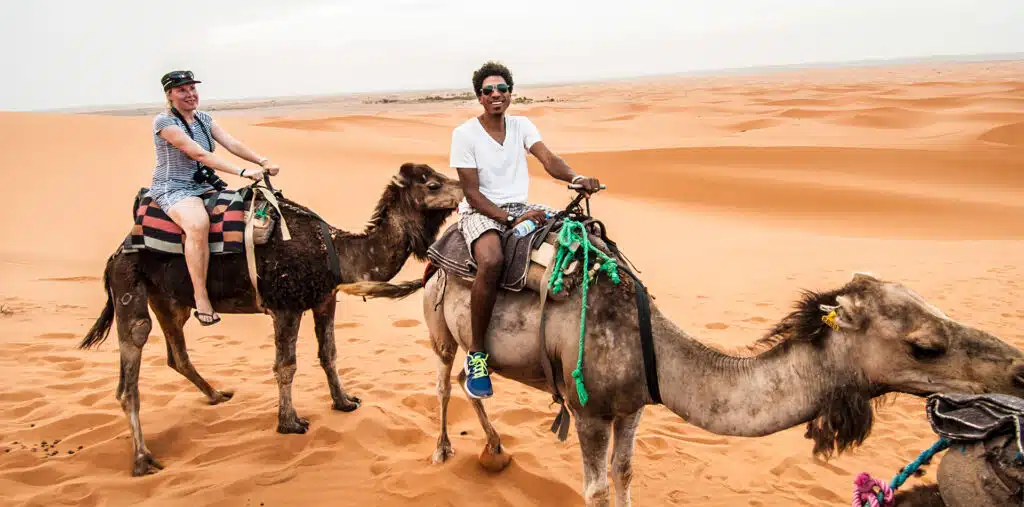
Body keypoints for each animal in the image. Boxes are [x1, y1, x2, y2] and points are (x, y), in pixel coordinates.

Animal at [77, 161, 462, 475]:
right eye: (432, 185)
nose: (462, 188)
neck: (339, 251)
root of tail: (114, 256)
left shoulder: (325, 299)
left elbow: (329, 354)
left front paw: (344, 402)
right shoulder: (286, 306)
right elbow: (286, 366)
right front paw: (290, 422)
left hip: (169, 300)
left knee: (177, 354)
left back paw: (216, 395)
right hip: (129, 288)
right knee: (131, 368)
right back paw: (143, 459)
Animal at [339, 243, 1024, 505]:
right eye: (925, 346)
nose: (1018, 371)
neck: (656, 354)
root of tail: (436, 257)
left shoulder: (634, 407)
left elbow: (623, 476)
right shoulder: (588, 412)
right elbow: (593, 488)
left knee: (465, 384)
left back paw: (496, 451)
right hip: (438, 324)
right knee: (443, 378)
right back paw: (443, 451)